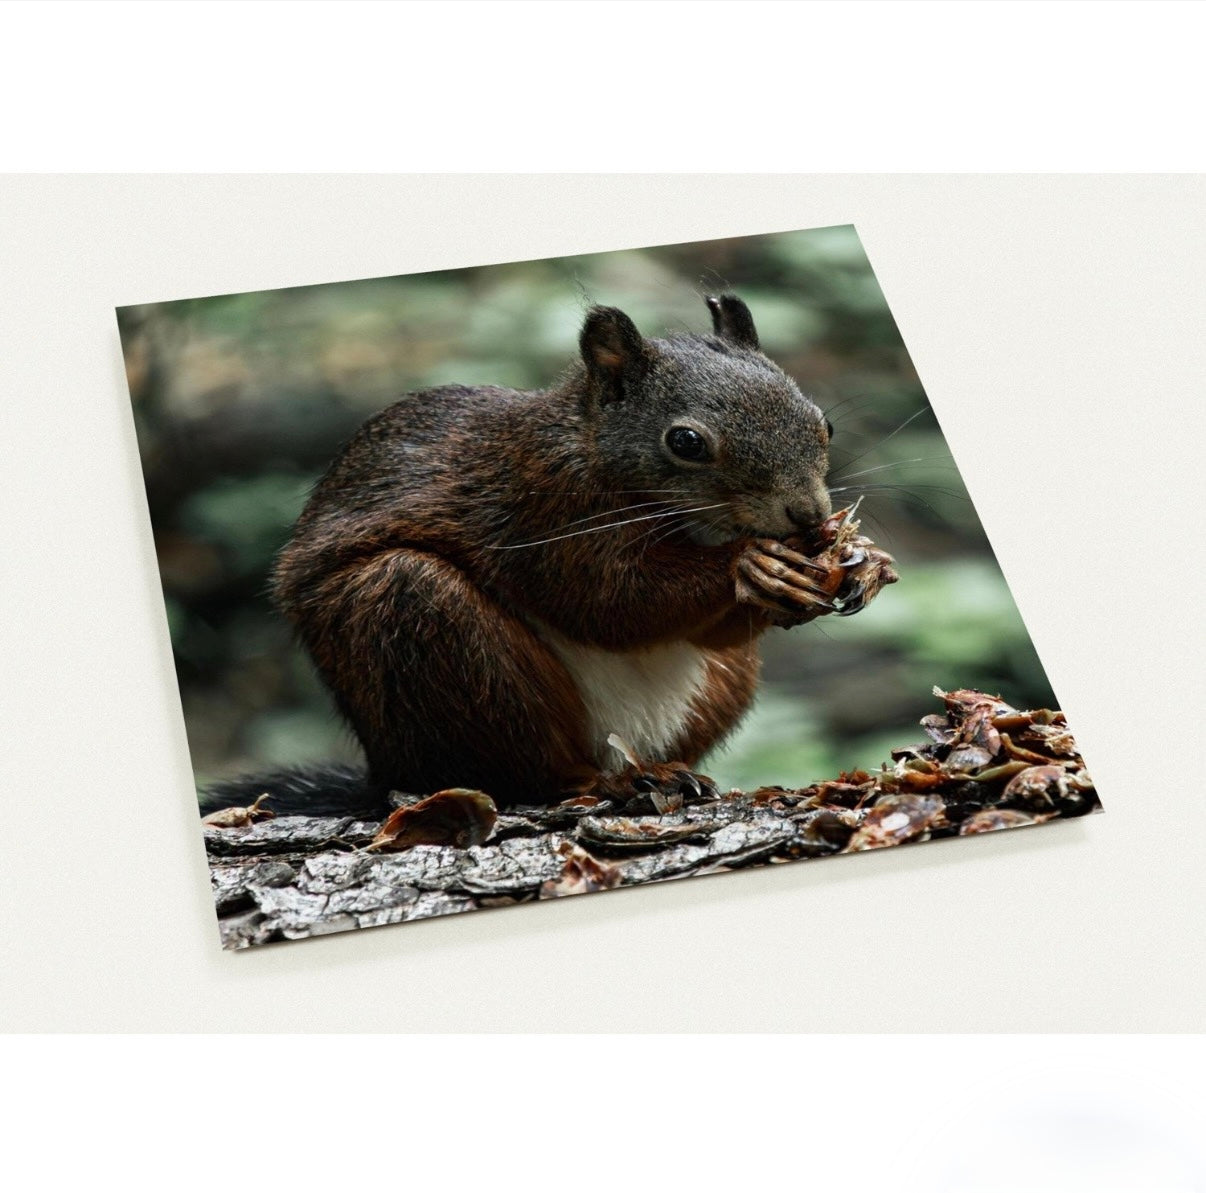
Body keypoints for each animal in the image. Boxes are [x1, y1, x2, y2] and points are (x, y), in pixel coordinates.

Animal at [200, 295, 897, 819]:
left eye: (823, 423)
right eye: (686, 442)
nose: (808, 516)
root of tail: (383, 768)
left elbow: (707, 629)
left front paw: (862, 560)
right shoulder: (543, 511)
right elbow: (610, 602)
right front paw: (749, 567)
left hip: (722, 684)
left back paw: (667, 770)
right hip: (424, 629)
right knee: (527, 771)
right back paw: (609, 782)